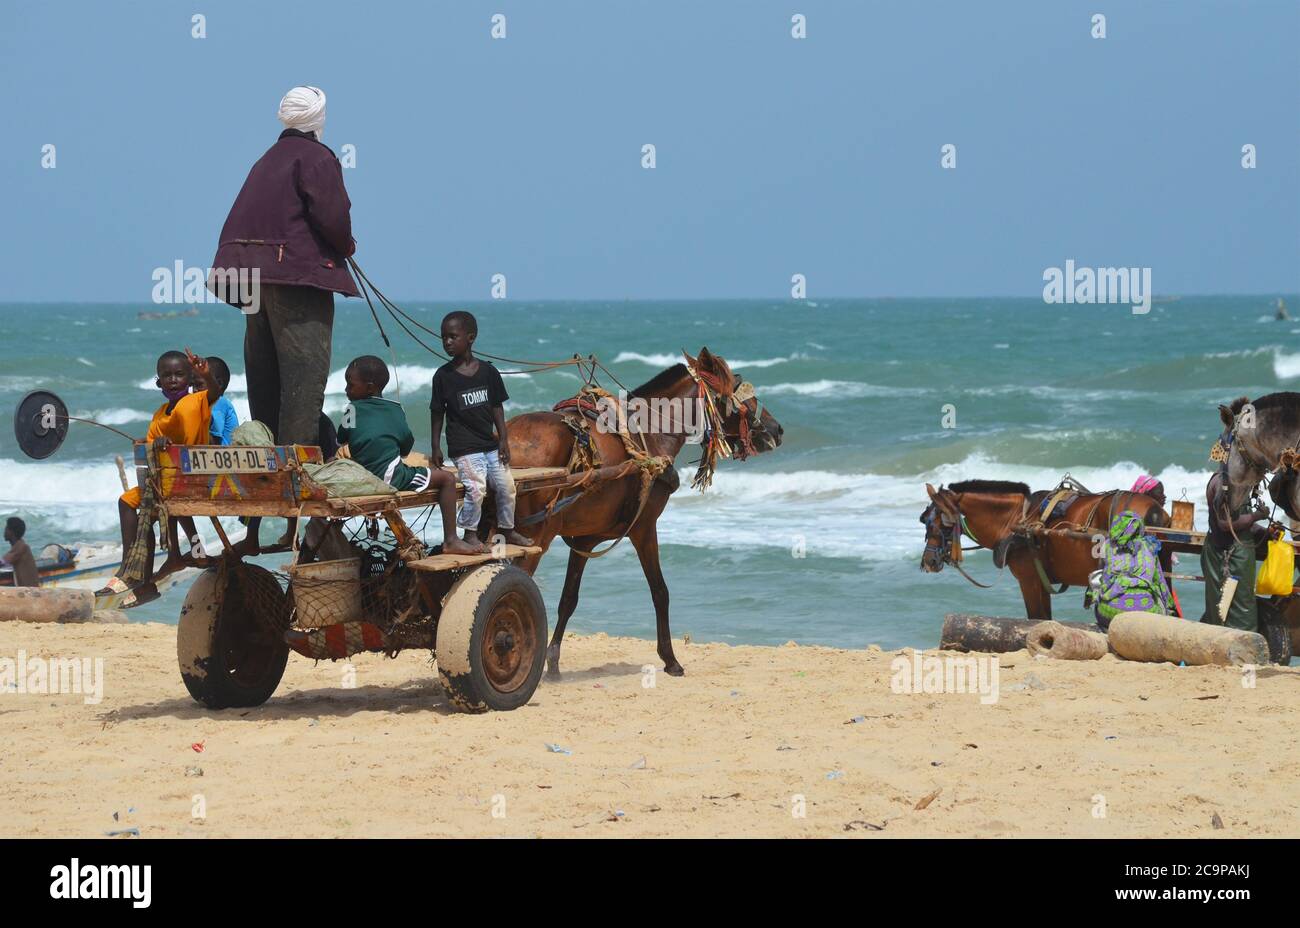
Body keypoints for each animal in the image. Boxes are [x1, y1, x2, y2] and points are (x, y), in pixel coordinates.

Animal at [496, 348, 780, 670]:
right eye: (736, 393)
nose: (776, 429)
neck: (649, 434)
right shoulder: (644, 528)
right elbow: (660, 591)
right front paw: (670, 659)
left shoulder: (584, 540)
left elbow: (569, 598)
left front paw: (553, 661)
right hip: (536, 536)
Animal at [920, 480, 1175, 618]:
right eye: (925, 521)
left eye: (935, 523)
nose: (928, 562)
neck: (1017, 519)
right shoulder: (1040, 581)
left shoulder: (1029, 580)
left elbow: (1036, 618)